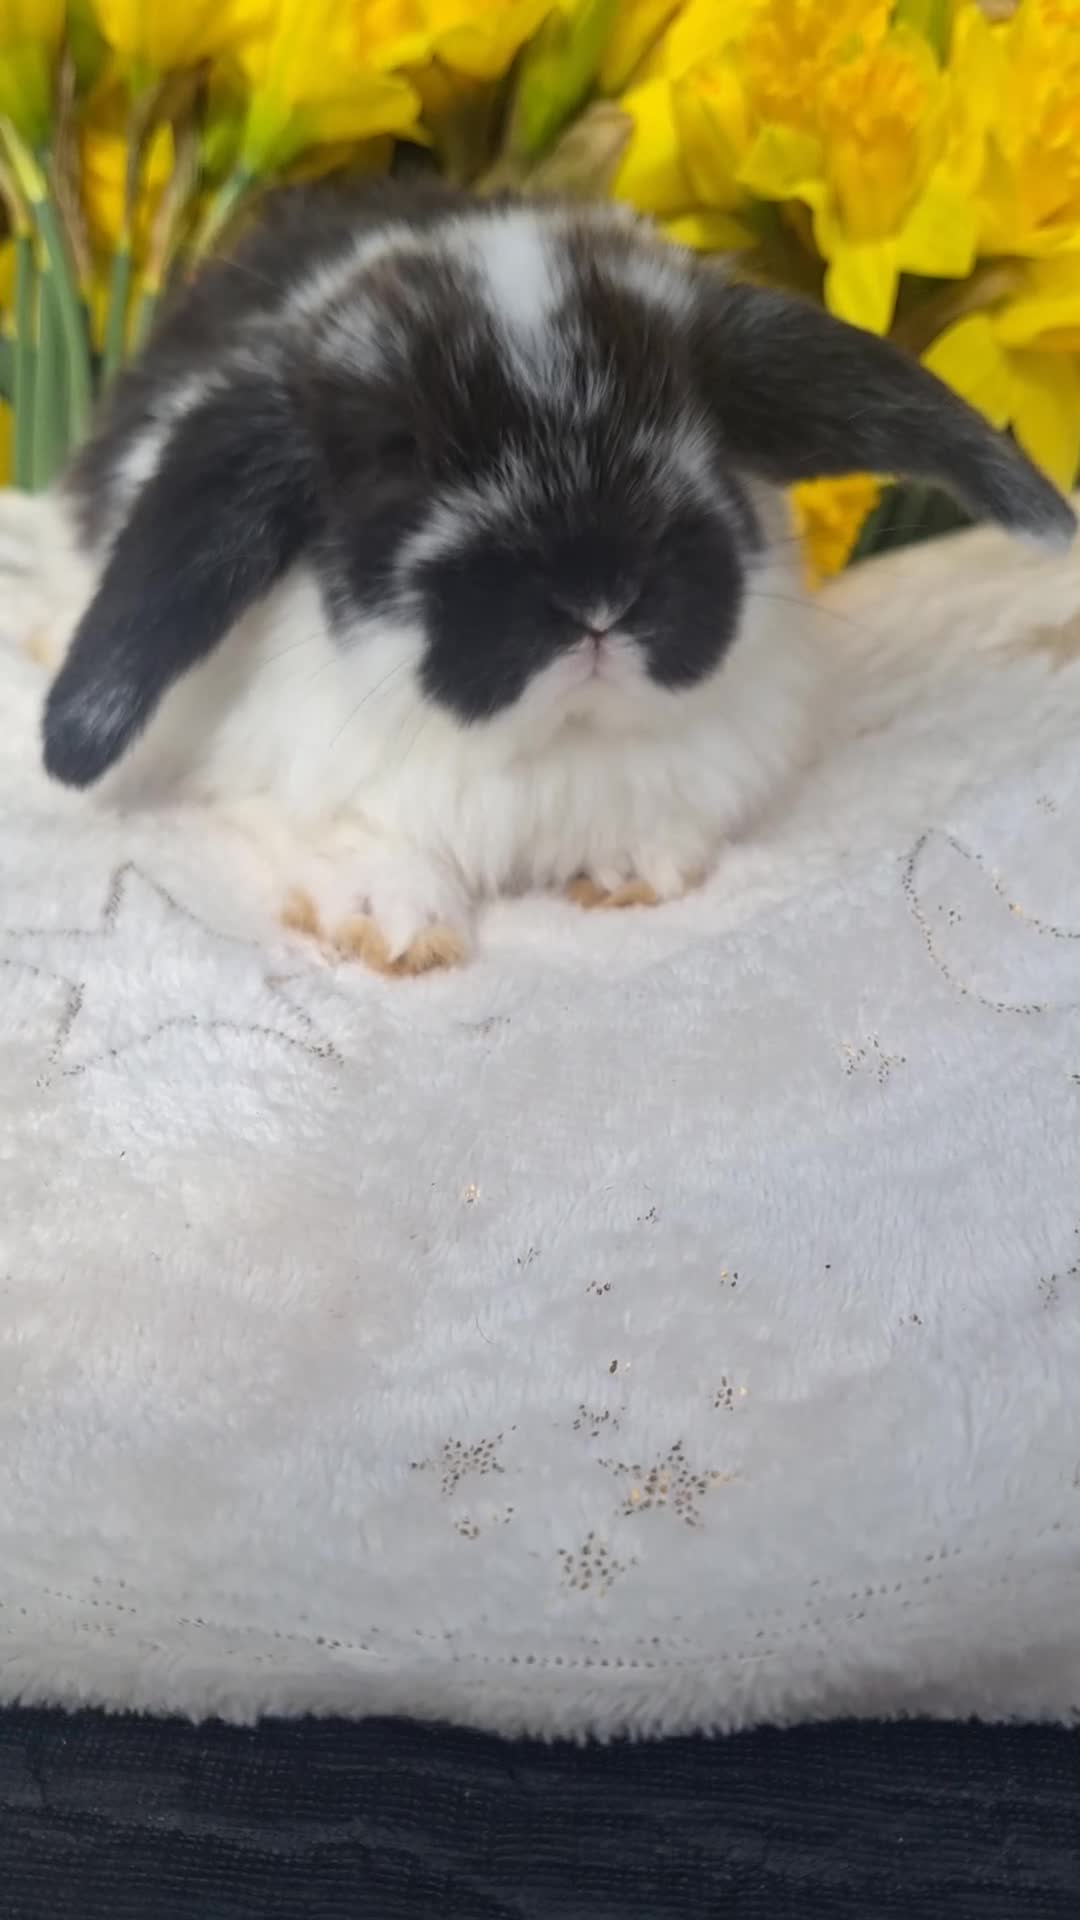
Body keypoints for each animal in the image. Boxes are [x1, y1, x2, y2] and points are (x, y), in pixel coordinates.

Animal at [31, 179, 1076, 974]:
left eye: (699, 429)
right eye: (396, 460)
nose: (597, 600)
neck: (547, 749)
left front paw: (625, 875)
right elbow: (352, 837)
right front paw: (397, 929)